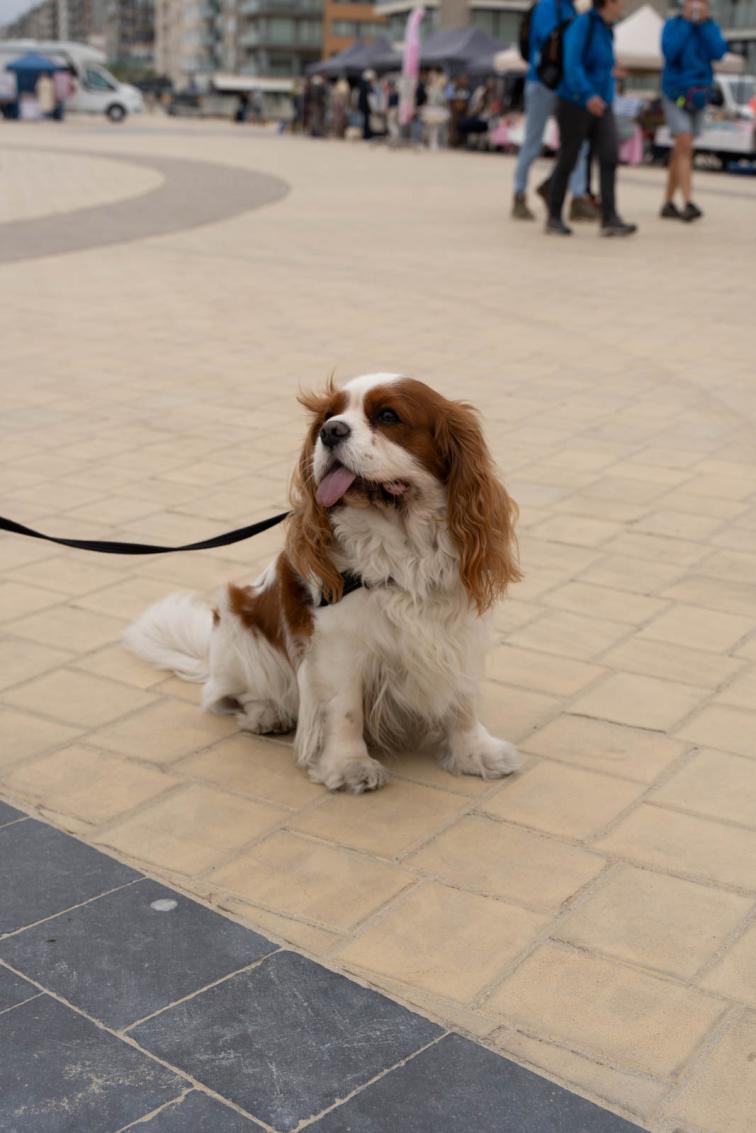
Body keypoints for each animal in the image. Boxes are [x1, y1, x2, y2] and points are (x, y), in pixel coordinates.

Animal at [124, 373, 522, 793]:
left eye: (388, 416)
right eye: (328, 417)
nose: (330, 432)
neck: (404, 547)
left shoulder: (457, 632)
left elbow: (463, 701)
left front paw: (475, 753)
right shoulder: (338, 645)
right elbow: (345, 709)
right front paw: (349, 766)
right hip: (238, 625)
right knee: (223, 695)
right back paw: (266, 713)